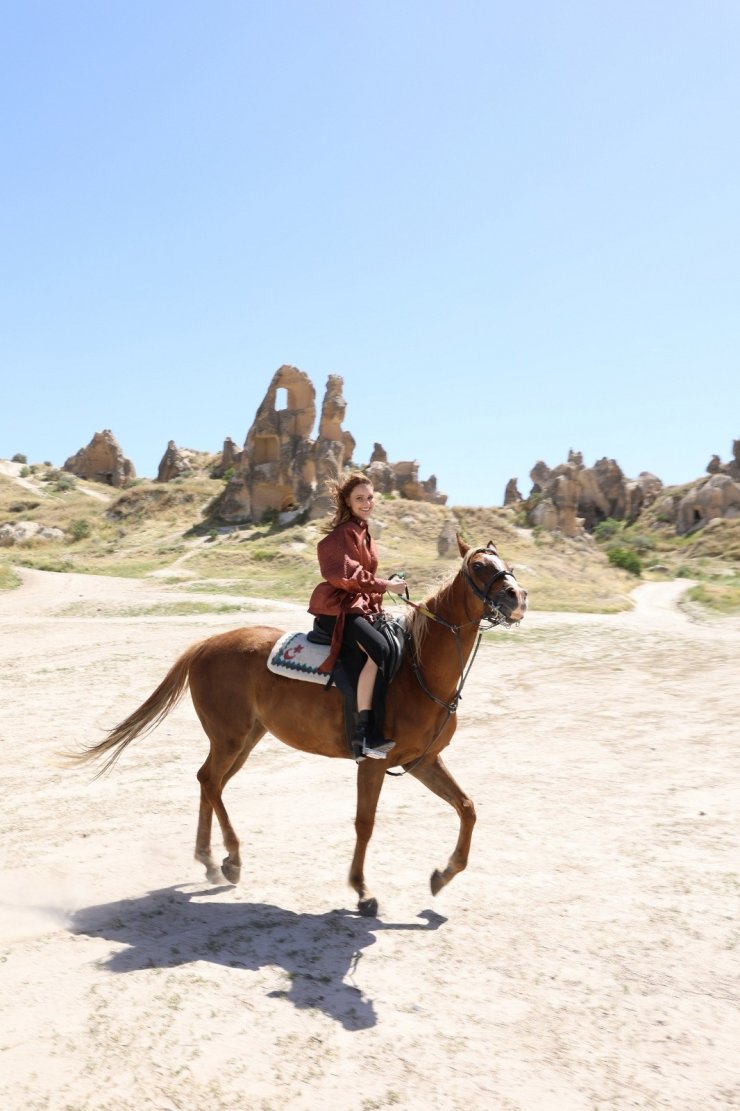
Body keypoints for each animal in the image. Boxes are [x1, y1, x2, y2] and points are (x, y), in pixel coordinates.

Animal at [70, 535, 524, 911]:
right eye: (479, 566)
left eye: (504, 562)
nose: (517, 596)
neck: (416, 669)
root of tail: (204, 645)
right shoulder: (374, 762)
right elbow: (365, 823)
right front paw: (362, 890)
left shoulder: (423, 761)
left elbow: (467, 808)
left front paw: (442, 875)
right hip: (231, 738)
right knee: (211, 782)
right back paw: (231, 858)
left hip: (245, 738)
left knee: (208, 782)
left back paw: (211, 861)